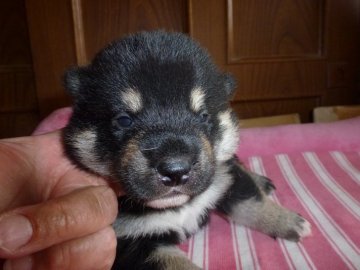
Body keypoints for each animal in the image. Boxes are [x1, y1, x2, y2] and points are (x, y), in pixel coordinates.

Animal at [63, 30, 310, 268]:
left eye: (203, 115)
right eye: (124, 120)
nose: (175, 170)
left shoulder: (225, 176)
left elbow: (250, 201)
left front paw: (288, 221)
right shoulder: (130, 242)